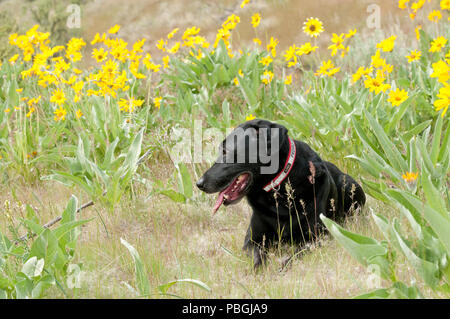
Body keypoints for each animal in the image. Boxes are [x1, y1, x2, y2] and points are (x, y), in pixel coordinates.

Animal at [197, 119, 366, 268]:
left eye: (226, 151)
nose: (199, 183)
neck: (278, 191)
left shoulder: (319, 237)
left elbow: (297, 254)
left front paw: (282, 267)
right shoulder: (252, 240)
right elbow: (257, 258)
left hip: (349, 184)